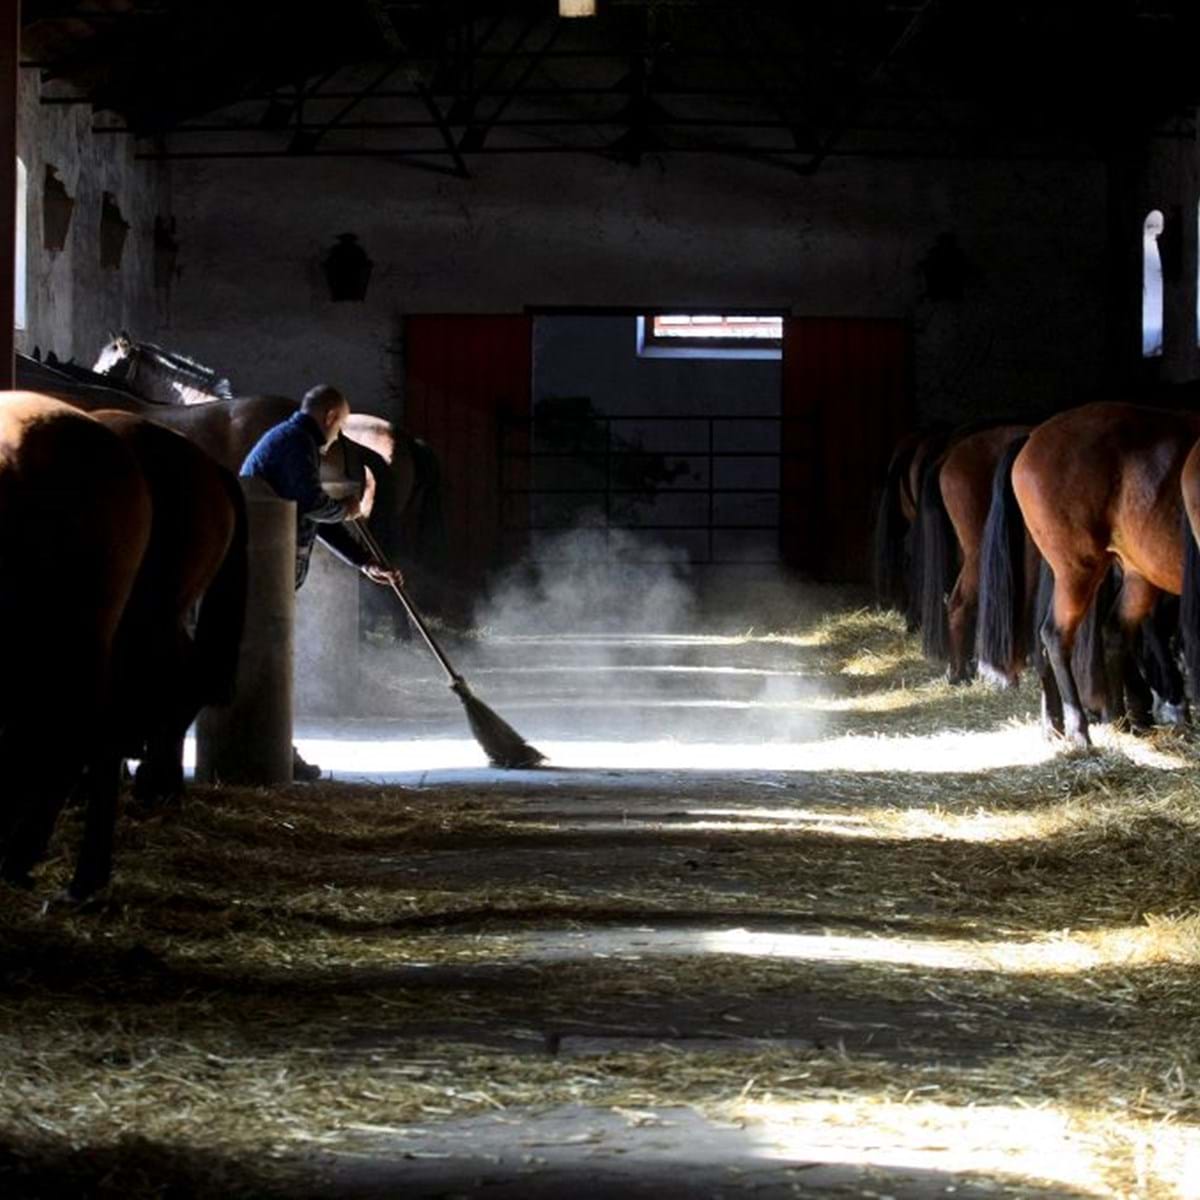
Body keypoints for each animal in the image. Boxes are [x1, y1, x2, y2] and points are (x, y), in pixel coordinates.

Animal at [974, 403, 1200, 739]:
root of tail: (1033, 436)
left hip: (1134, 575)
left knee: (1114, 632)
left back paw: (1112, 719)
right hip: (1077, 571)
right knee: (1055, 636)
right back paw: (1079, 727)